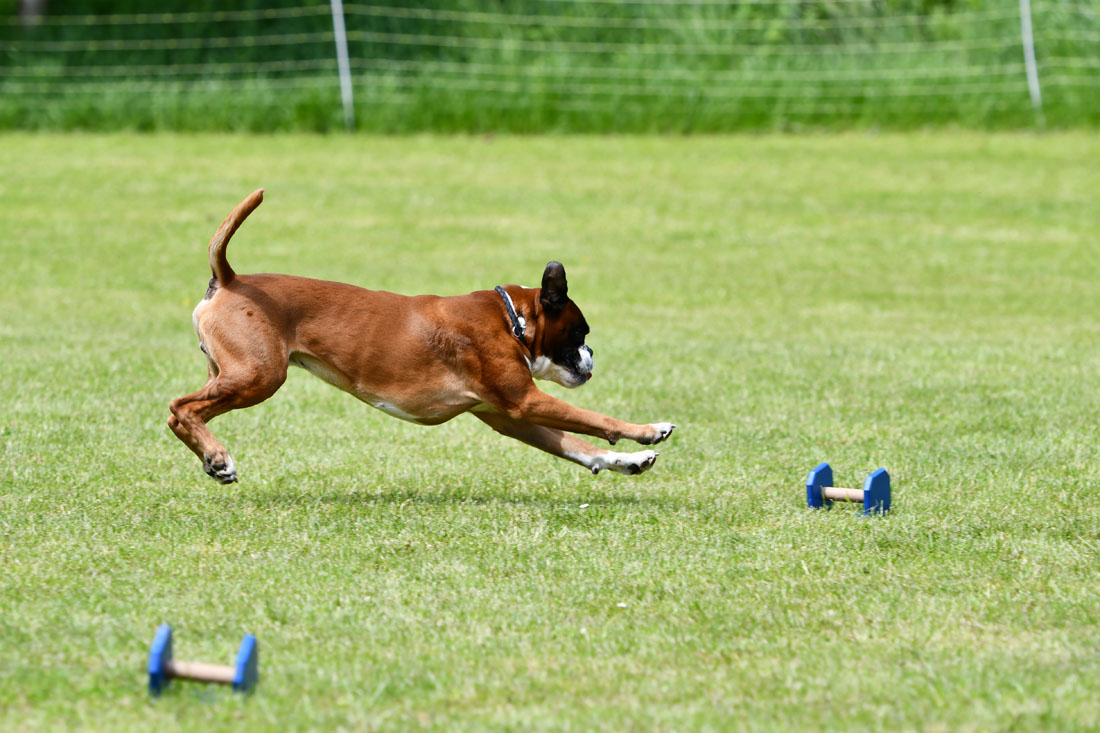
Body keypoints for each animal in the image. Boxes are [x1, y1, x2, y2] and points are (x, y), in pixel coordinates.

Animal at [167, 191, 673, 482]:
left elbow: (578, 444)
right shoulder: (526, 402)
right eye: (581, 331)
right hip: (260, 375)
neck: (511, 317)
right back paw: (219, 458)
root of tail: (230, 279)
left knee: (183, 413)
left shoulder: (511, 416)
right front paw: (648, 431)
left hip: (230, 374)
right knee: (179, 408)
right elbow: (596, 418)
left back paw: (210, 459)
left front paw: (625, 462)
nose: (592, 355)